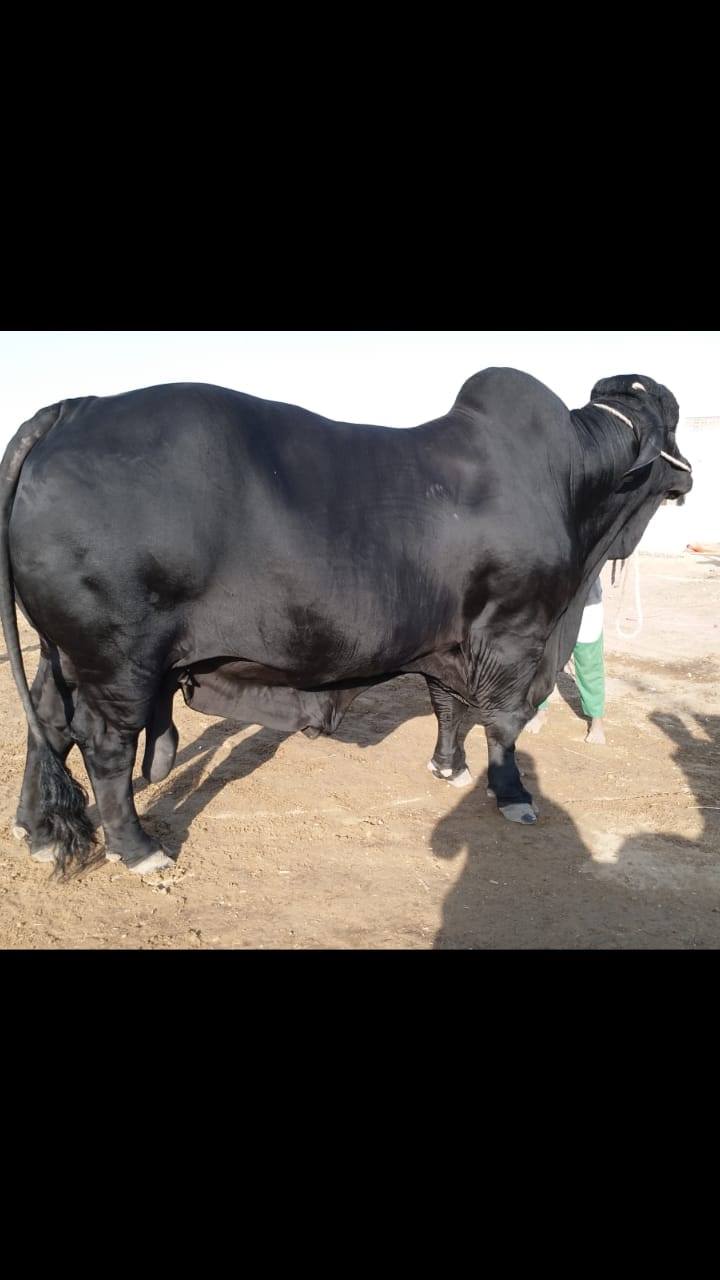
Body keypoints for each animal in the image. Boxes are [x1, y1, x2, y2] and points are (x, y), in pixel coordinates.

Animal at [0, 368, 692, 876]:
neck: (572, 483)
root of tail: (72, 408)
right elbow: (504, 723)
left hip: (63, 652)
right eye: (677, 420)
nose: (686, 480)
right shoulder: (514, 635)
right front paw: (513, 794)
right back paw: (139, 849)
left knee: (50, 722)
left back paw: (39, 830)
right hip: (118, 656)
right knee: (105, 742)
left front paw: (448, 766)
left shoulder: (444, 639)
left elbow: (447, 705)